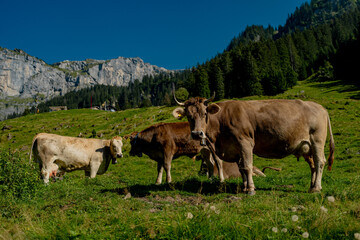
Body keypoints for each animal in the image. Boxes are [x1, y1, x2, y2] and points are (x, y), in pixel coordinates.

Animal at [173, 94, 334, 195]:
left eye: (205, 113)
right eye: (188, 116)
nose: (197, 134)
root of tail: (320, 107)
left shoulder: (245, 142)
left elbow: (247, 166)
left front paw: (250, 189)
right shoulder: (235, 148)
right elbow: (241, 168)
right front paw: (244, 187)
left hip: (317, 140)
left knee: (320, 162)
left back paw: (316, 188)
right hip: (306, 146)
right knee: (312, 165)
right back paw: (311, 186)